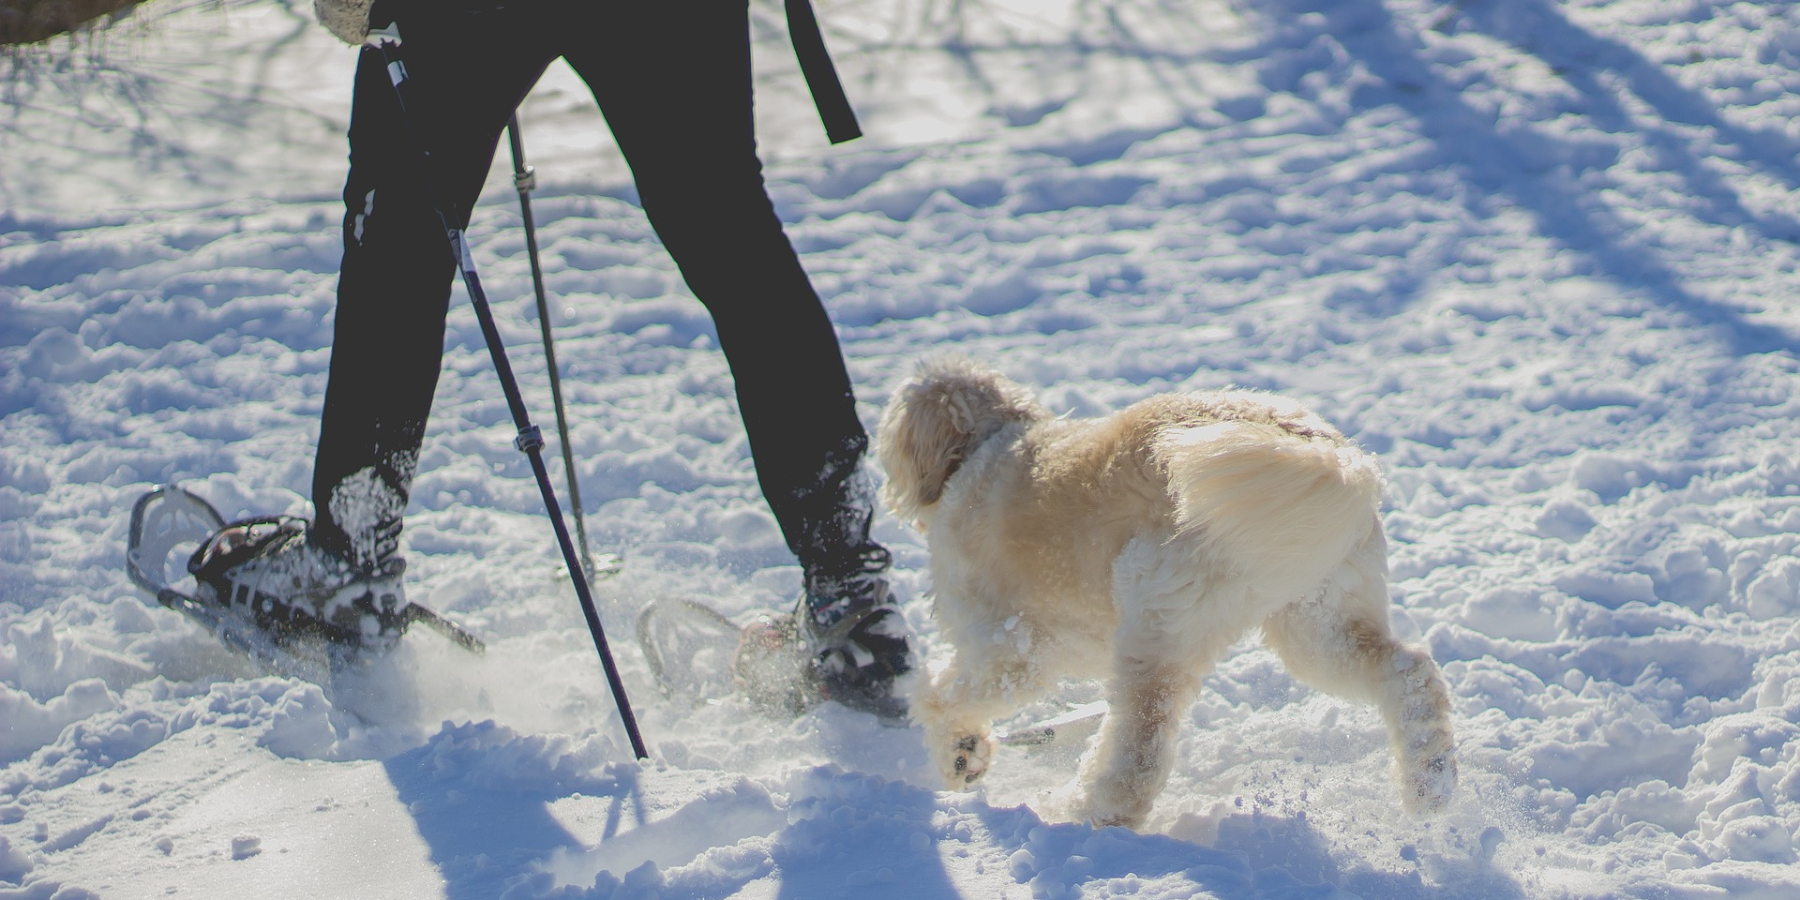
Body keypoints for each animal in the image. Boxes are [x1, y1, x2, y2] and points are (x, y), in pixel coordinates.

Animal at [878, 356, 1454, 828]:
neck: (986, 445)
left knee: (1139, 754)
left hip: (1155, 622)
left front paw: (959, 752)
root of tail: (1324, 453)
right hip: (1319, 622)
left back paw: (1082, 813)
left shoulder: (1010, 650)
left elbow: (940, 698)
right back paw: (1430, 785)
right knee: (1409, 674)